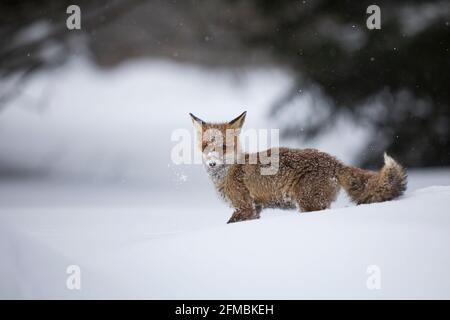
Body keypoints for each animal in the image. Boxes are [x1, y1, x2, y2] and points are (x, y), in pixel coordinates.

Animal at [190, 111, 408, 224]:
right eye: (205, 146)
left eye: (224, 147)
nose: (212, 163)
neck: (229, 171)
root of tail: (334, 161)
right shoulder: (255, 209)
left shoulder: (244, 206)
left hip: (307, 203)